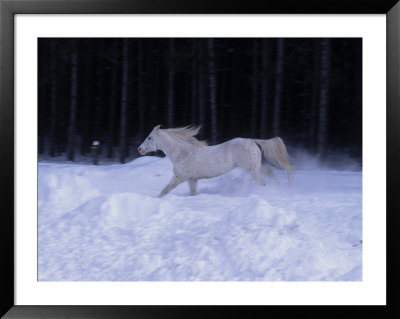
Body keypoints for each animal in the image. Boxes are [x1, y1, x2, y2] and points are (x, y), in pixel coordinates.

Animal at [138, 125, 294, 198]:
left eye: (150, 137)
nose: (140, 149)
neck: (183, 153)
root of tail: (252, 141)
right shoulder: (192, 179)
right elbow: (192, 193)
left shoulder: (179, 177)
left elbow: (165, 190)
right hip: (255, 167)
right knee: (270, 172)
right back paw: (280, 187)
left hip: (252, 170)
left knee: (262, 182)